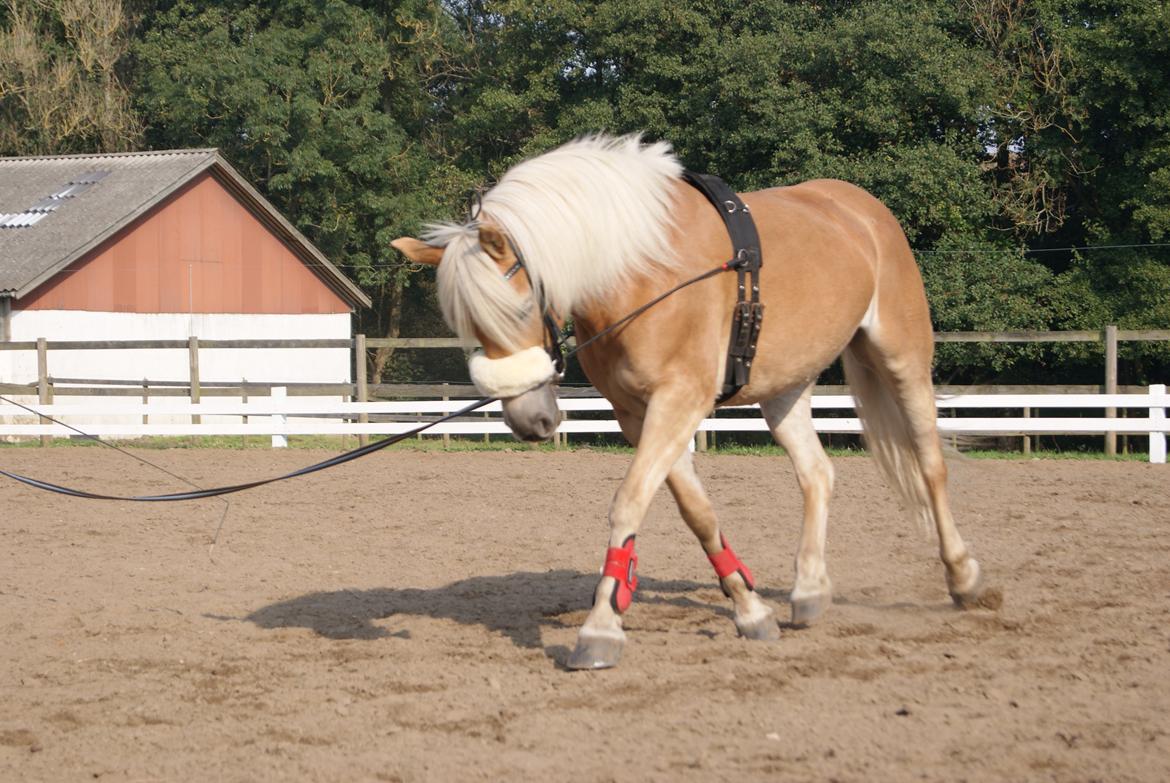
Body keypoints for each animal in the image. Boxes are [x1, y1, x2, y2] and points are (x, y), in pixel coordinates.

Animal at [393, 135, 996, 674]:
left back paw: (964, 578)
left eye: (519, 309)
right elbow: (697, 512)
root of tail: (863, 208)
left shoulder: (679, 399)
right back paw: (808, 590)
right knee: (817, 475)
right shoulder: (637, 412)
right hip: (786, 386)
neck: (641, 271)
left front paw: (600, 629)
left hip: (901, 356)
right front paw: (751, 611)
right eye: (463, 325)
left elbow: (629, 502)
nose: (528, 420)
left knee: (929, 465)